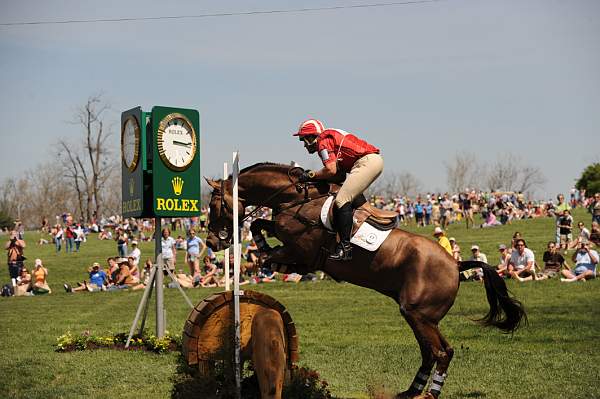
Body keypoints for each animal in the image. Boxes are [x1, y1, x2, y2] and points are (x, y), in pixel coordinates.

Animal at [206, 161, 524, 398]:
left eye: (214, 205)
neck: (294, 199)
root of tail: (455, 264)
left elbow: (269, 242)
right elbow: (260, 225)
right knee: (430, 352)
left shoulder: (303, 251)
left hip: (419, 314)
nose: (212, 242)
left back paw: (430, 393)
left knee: (441, 352)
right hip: (421, 317)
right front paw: (266, 255)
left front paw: (266, 257)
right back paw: (411, 391)